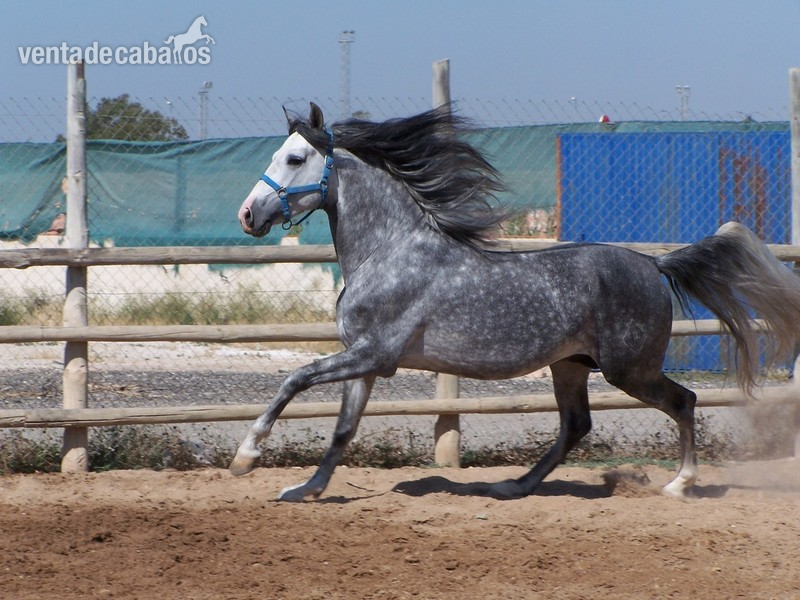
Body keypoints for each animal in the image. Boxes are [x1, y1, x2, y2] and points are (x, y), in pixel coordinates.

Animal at [230, 102, 800, 502]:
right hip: (571, 365)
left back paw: (680, 484)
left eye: (295, 158)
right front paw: (304, 490)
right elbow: (342, 431)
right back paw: (512, 486)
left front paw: (246, 456)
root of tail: (654, 266)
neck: (389, 251)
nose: (247, 214)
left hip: (629, 370)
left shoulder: (375, 355)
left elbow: (296, 378)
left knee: (683, 402)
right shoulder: (364, 362)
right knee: (577, 426)